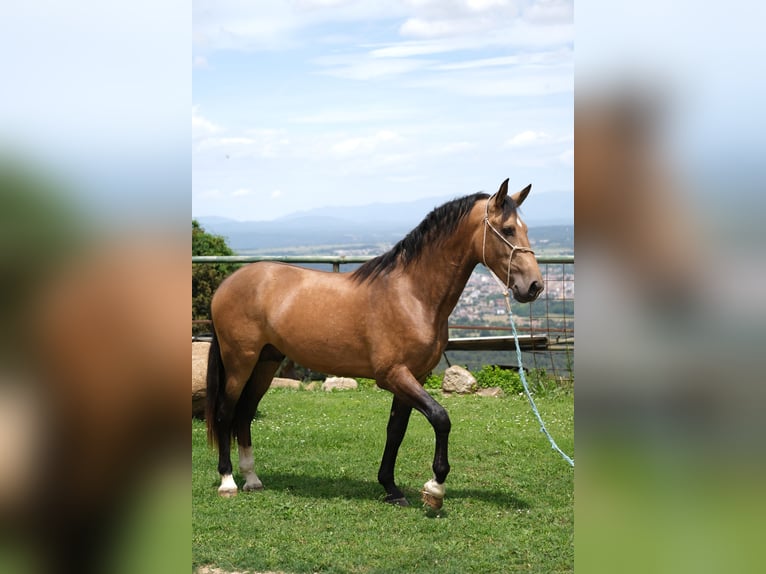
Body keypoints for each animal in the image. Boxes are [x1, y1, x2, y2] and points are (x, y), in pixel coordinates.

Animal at [206, 179, 544, 508]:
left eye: (527, 228)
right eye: (508, 229)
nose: (534, 286)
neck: (412, 294)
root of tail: (227, 284)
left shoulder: (414, 376)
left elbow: (396, 431)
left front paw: (391, 489)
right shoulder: (393, 375)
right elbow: (440, 418)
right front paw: (435, 488)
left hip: (266, 361)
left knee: (245, 414)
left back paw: (252, 479)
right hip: (240, 361)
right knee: (226, 412)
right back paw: (228, 481)